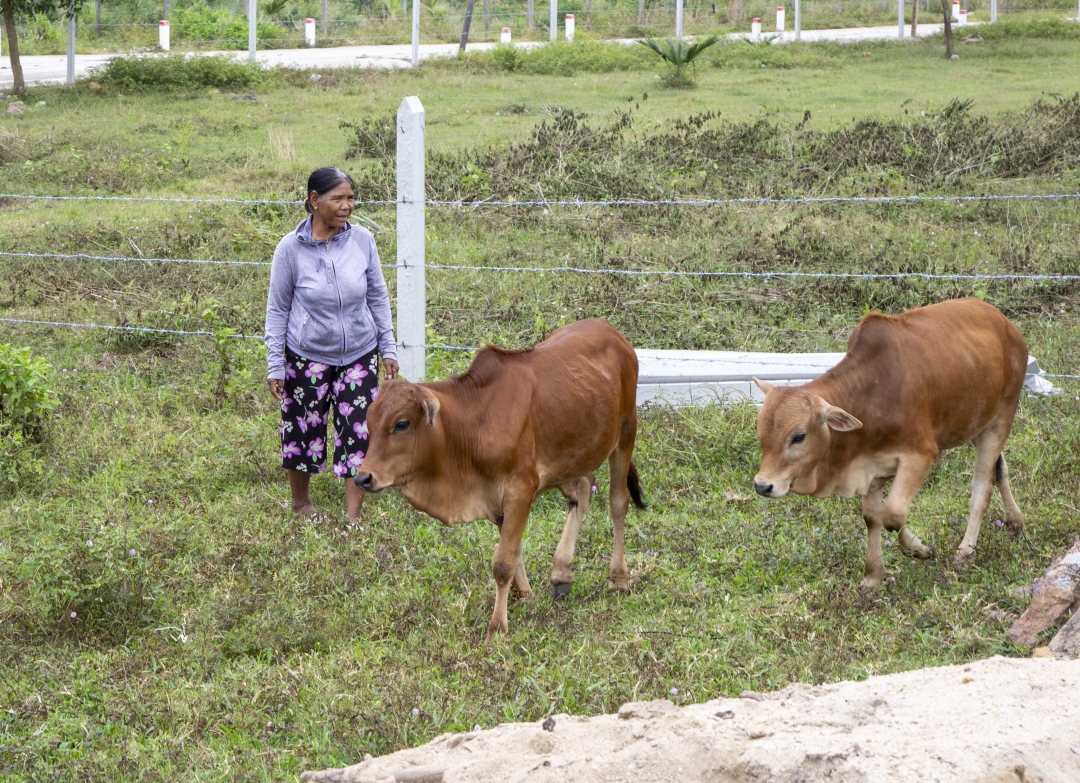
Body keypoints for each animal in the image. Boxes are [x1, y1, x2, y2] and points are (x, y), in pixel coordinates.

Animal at [354, 319, 643, 639]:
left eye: (402, 424)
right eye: (369, 421)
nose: (363, 478)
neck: (472, 426)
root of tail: (612, 332)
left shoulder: (520, 489)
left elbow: (503, 562)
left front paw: (497, 626)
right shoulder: (495, 499)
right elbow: (514, 550)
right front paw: (524, 595)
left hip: (626, 431)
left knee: (618, 503)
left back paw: (618, 578)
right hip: (573, 456)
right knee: (581, 490)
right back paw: (561, 572)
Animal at [751, 300, 1028, 587]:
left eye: (798, 436)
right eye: (762, 433)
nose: (762, 486)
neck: (871, 395)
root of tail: (1005, 323)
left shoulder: (921, 455)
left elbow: (892, 515)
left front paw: (919, 549)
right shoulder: (869, 466)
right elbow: (873, 518)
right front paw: (874, 574)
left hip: (1000, 421)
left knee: (982, 487)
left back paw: (965, 552)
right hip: (977, 425)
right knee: (1000, 469)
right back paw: (1015, 522)